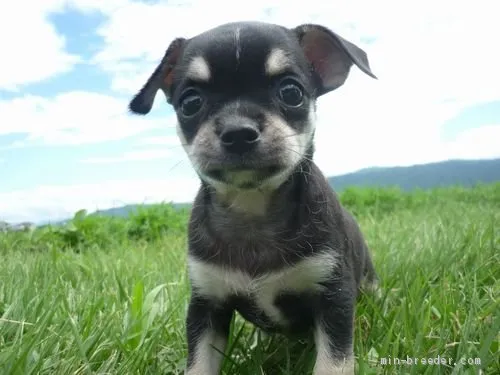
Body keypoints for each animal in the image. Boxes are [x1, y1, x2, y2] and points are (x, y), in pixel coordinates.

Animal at [129, 21, 378, 375]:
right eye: (190, 103)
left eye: (291, 93)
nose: (237, 131)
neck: (252, 209)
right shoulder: (207, 305)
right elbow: (199, 363)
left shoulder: (334, 298)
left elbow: (334, 362)